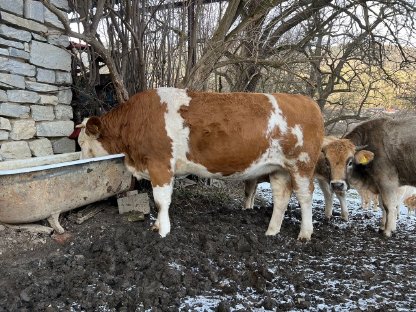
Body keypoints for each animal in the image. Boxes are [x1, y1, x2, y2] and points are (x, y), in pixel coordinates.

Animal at [76, 87, 324, 239]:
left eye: (83, 143)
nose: (81, 164)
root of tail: (306, 100)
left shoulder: (160, 165)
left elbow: (161, 201)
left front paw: (163, 232)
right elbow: (161, 202)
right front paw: (157, 226)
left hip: (302, 164)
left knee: (304, 196)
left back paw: (305, 233)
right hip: (279, 168)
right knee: (281, 197)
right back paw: (271, 232)